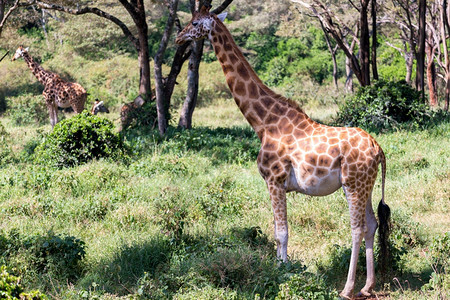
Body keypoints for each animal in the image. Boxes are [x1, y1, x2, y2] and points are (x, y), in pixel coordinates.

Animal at [176, 5, 390, 298]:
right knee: (372, 225)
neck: (264, 122)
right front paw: (281, 271)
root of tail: (377, 148)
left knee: (357, 228)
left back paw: (347, 288)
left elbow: (281, 233)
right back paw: (367, 286)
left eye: (195, 23)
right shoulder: (275, 183)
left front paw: (282, 275)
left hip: (354, 184)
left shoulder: (274, 180)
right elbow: (278, 233)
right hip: (363, 185)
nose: (178, 38)